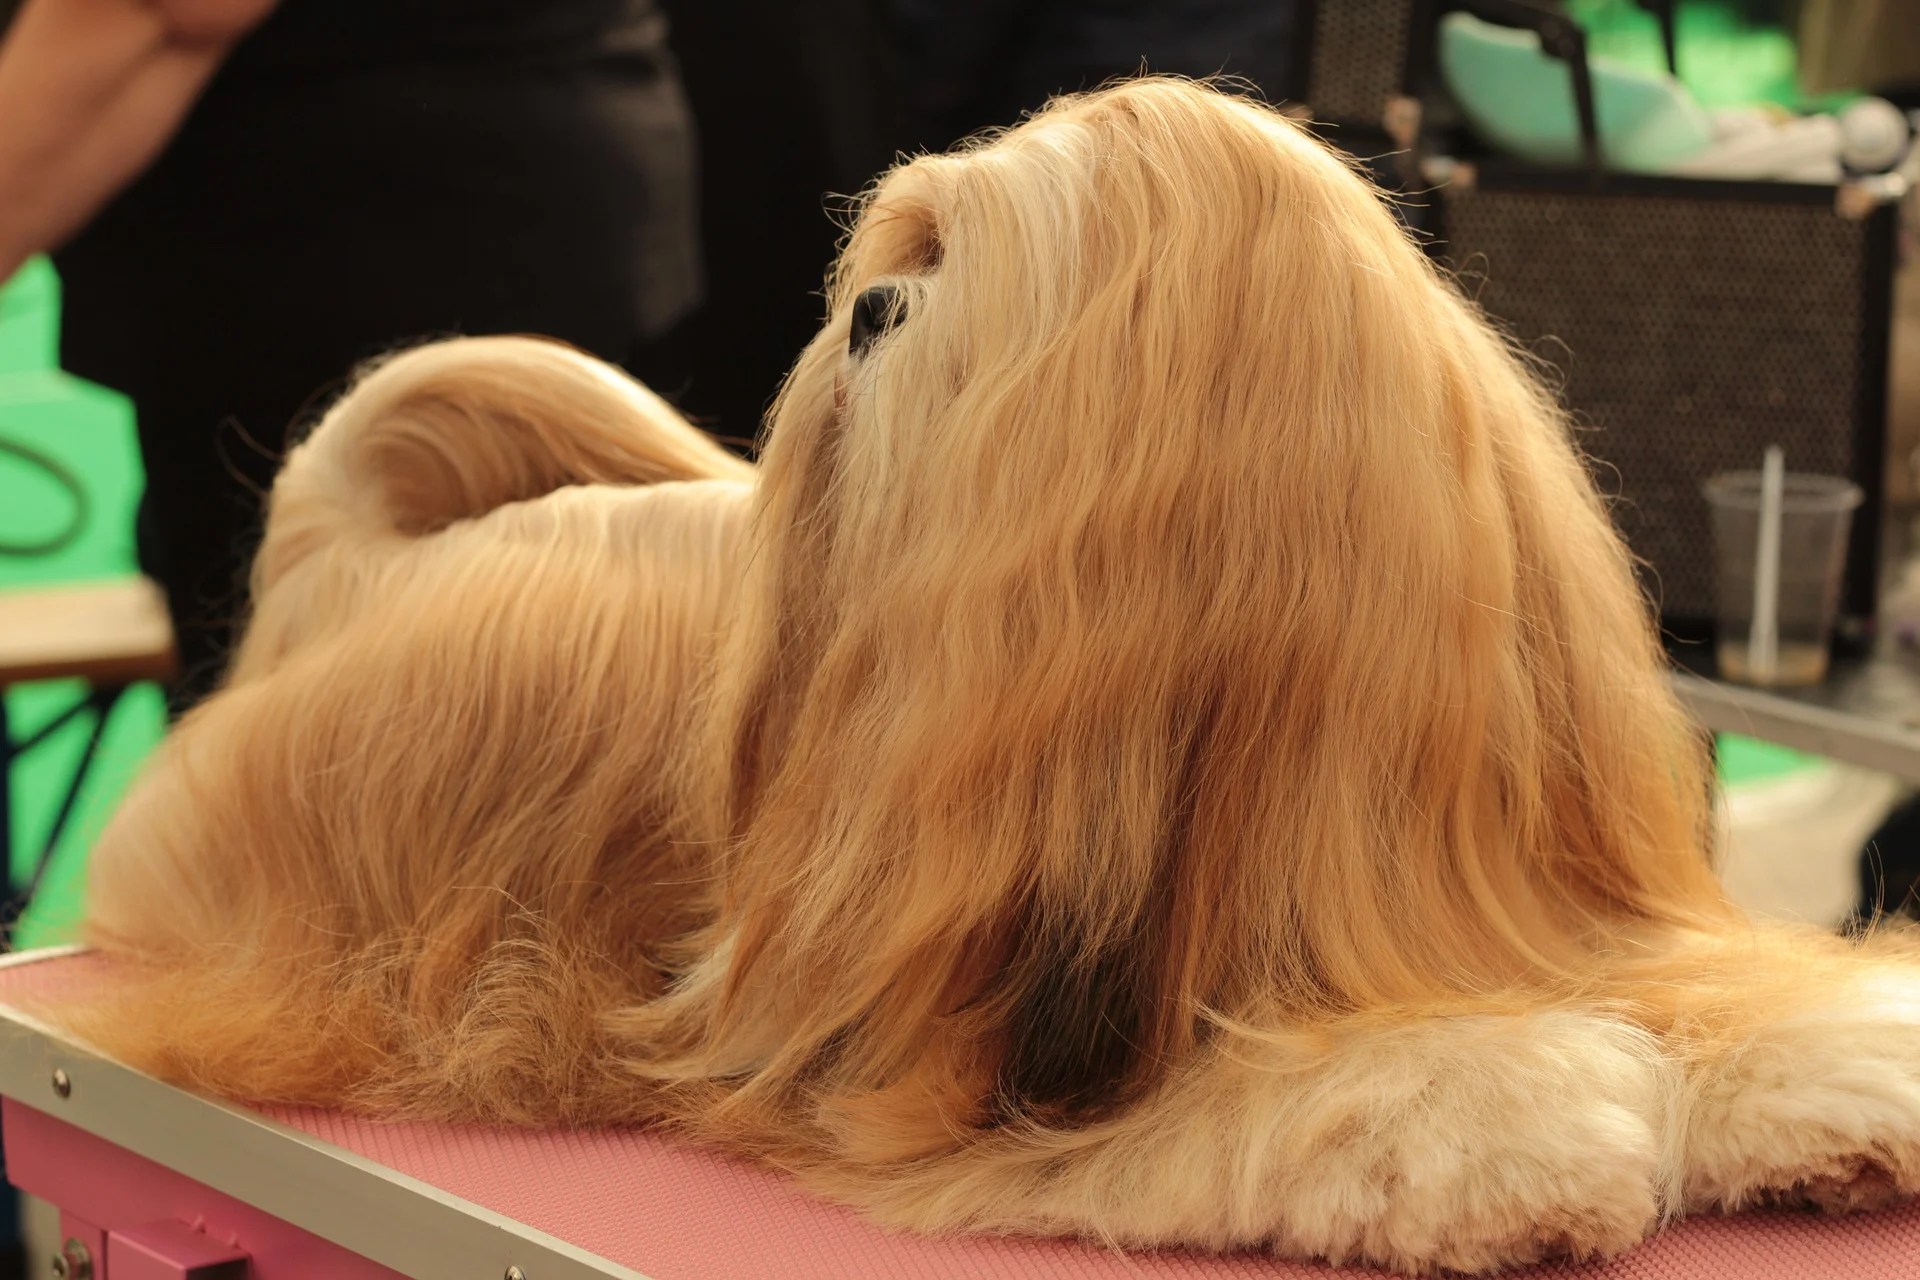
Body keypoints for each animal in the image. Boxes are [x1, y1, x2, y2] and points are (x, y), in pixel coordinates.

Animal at [56, 80, 1920, 1274]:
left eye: (972, 277)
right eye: (904, 264)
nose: (866, 311)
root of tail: (346, 554)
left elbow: (1708, 987)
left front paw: (1830, 1077)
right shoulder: (976, 1082)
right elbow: (1302, 1094)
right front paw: (1499, 1123)